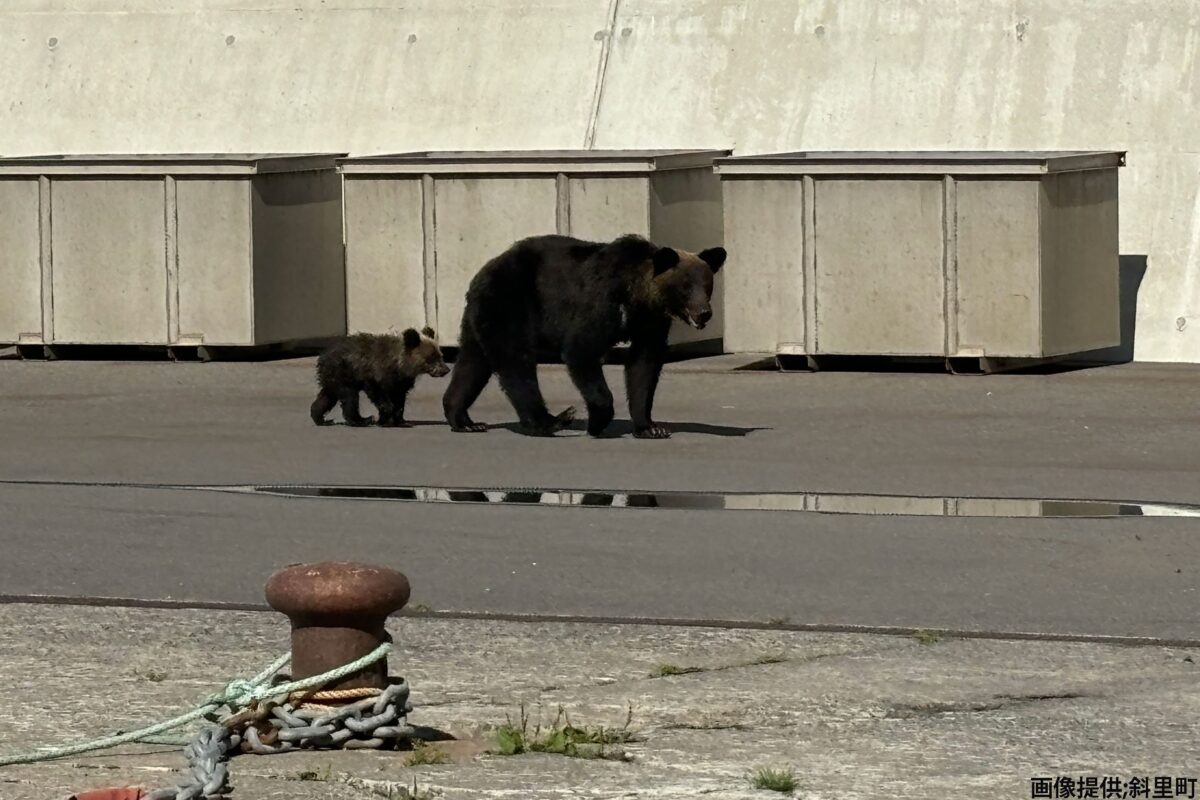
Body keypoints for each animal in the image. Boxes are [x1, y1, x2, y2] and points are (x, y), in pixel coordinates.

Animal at [311, 328, 449, 427]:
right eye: (431, 358)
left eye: (440, 355)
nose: (446, 370)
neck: (400, 365)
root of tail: (322, 356)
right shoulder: (375, 374)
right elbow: (378, 394)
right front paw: (386, 416)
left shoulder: (401, 382)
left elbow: (399, 399)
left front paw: (399, 420)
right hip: (343, 373)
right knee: (350, 397)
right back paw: (362, 420)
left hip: (332, 379)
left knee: (327, 397)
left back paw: (321, 419)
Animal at [442, 233, 726, 438]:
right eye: (686, 287)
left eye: (707, 285)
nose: (704, 313)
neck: (636, 295)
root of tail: (483, 271)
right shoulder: (601, 303)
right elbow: (582, 350)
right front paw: (597, 422)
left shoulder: (650, 323)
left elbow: (644, 366)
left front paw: (651, 427)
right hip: (510, 302)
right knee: (516, 362)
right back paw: (551, 421)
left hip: (481, 317)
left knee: (473, 362)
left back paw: (464, 419)